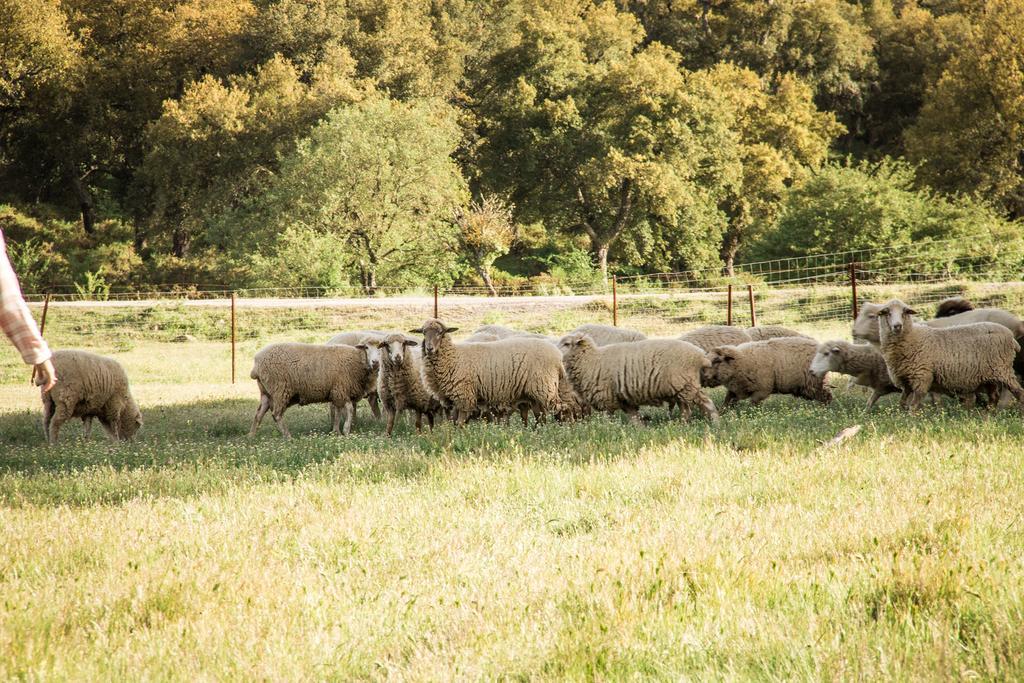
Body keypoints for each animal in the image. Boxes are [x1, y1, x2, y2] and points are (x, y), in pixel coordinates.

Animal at [247, 342, 376, 438]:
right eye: (367, 348)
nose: (375, 362)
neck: (358, 361)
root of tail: (256, 364)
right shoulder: (341, 390)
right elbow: (349, 409)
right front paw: (345, 430)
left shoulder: (337, 393)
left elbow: (338, 413)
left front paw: (336, 432)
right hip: (279, 389)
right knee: (276, 414)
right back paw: (288, 436)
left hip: (266, 393)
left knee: (258, 414)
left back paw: (251, 436)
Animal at [409, 317, 569, 423]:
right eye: (424, 332)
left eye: (440, 332)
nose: (429, 348)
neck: (453, 357)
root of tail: (558, 357)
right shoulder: (455, 398)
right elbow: (454, 421)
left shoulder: (464, 396)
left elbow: (460, 422)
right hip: (534, 391)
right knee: (540, 414)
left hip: (544, 387)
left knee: (560, 408)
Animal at [557, 333, 716, 423]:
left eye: (566, 343)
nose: (555, 350)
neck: (591, 360)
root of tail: (701, 355)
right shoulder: (625, 399)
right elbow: (634, 418)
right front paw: (638, 430)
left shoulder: (605, 398)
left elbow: (608, 418)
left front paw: (607, 429)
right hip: (682, 387)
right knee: (688, 409)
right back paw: (684, 425)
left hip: (686, 385)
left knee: (704, 404)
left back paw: (713, 424)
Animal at [872, 296, 1024, 409]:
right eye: (887, 312)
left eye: (904, 312)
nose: (897, 326)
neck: (913, 337)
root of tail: (1011, 336)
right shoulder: (906, 381)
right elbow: (902, 402)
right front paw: (903, 415)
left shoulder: (922, 377)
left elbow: (914, 405)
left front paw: (912, 420)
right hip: (990, 375)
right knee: (994, 397)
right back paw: (988, 415)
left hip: (1003, 370)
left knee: (1018, 392)